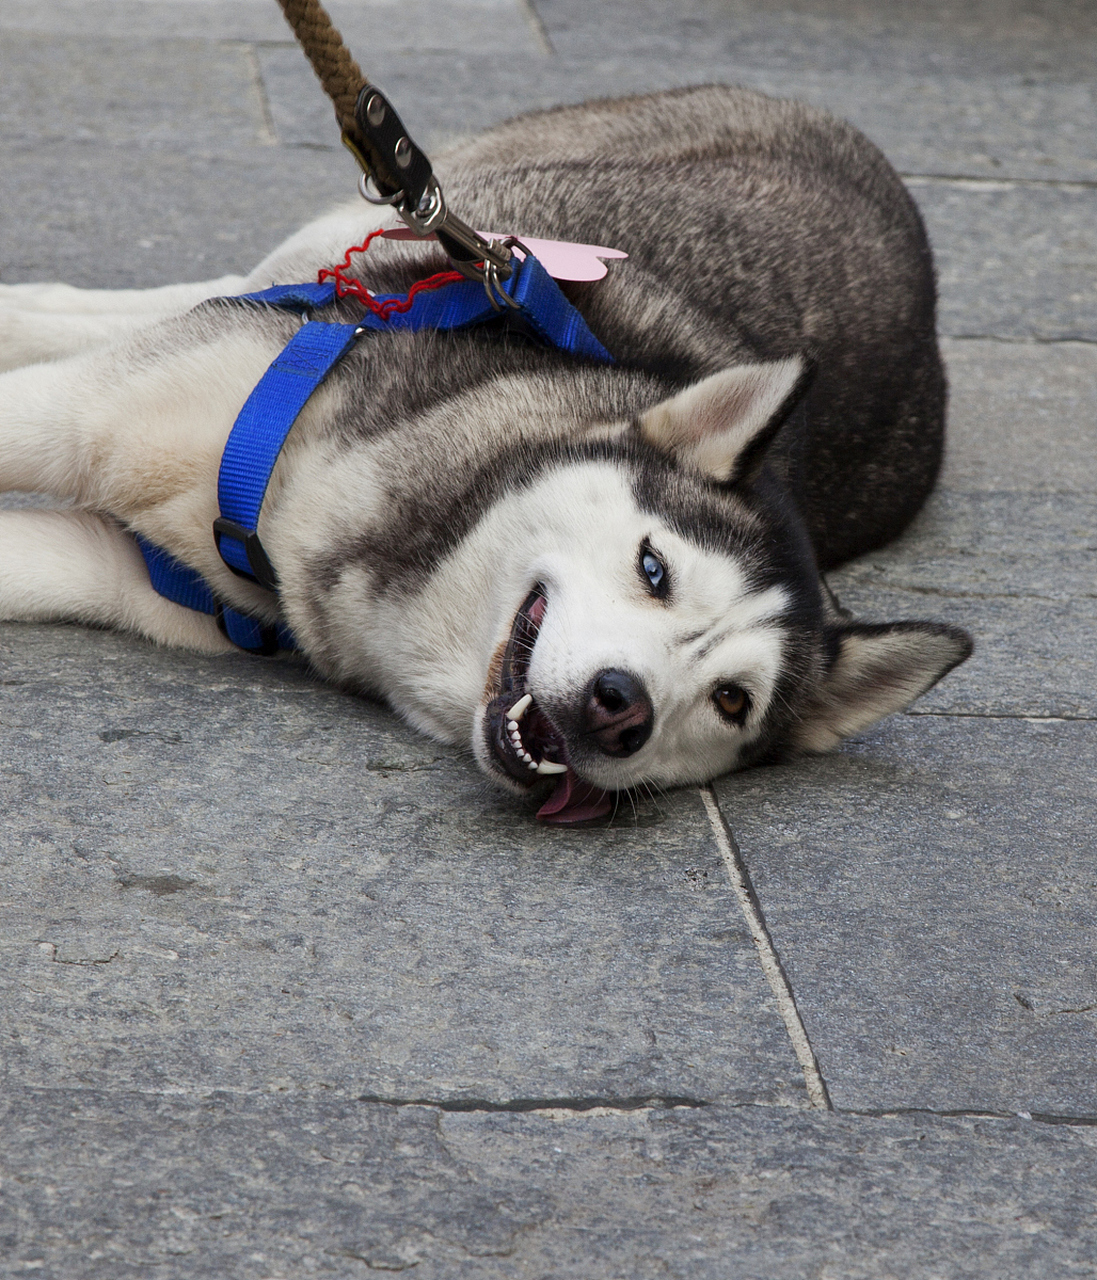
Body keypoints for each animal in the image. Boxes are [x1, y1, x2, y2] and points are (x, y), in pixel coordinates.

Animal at [4, 82, 972, 819]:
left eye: (731, 700)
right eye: (654, 569)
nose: (620, 708)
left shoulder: (139, 578)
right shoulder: (86, 414)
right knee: (222, 291)